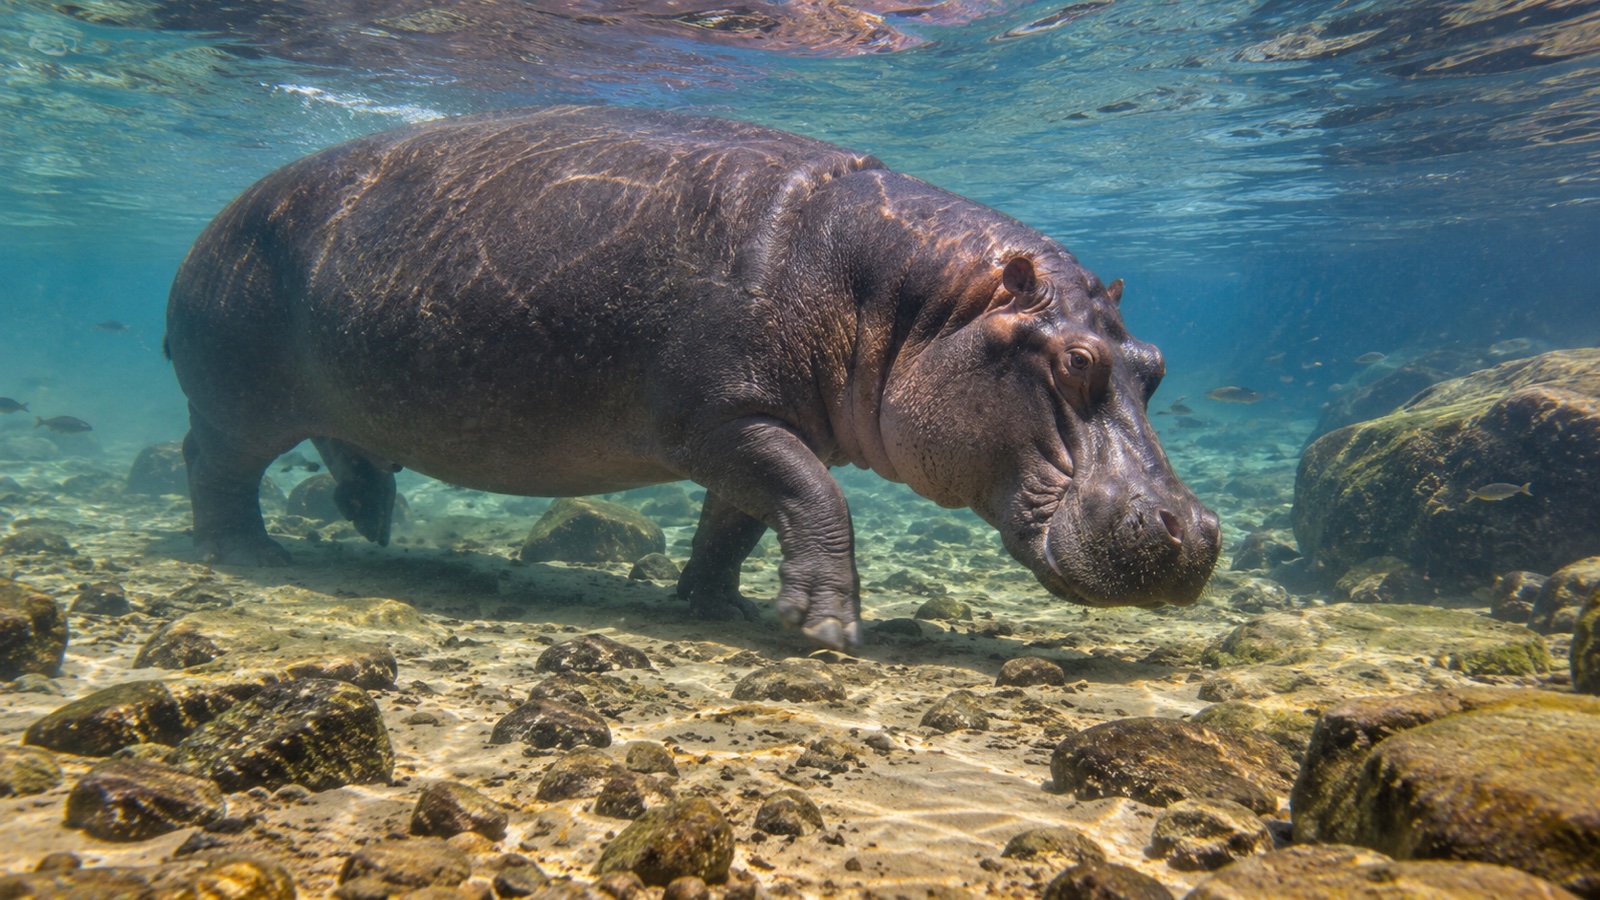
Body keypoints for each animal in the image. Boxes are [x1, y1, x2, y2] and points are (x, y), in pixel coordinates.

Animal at [166, 105, 1219, 650]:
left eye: (1157, 368)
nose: (1197, 533)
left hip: (340, 390)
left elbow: (745, 518)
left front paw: (719, 607)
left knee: (344, 446)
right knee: (211, 464)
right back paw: (252, 556)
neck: (910, 301)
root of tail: (204, 233)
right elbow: (817, 497)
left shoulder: (756, 425)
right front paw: (825, 632)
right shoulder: (722, 421)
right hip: (233, 402)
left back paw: (370, 522)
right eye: (1075, 362)